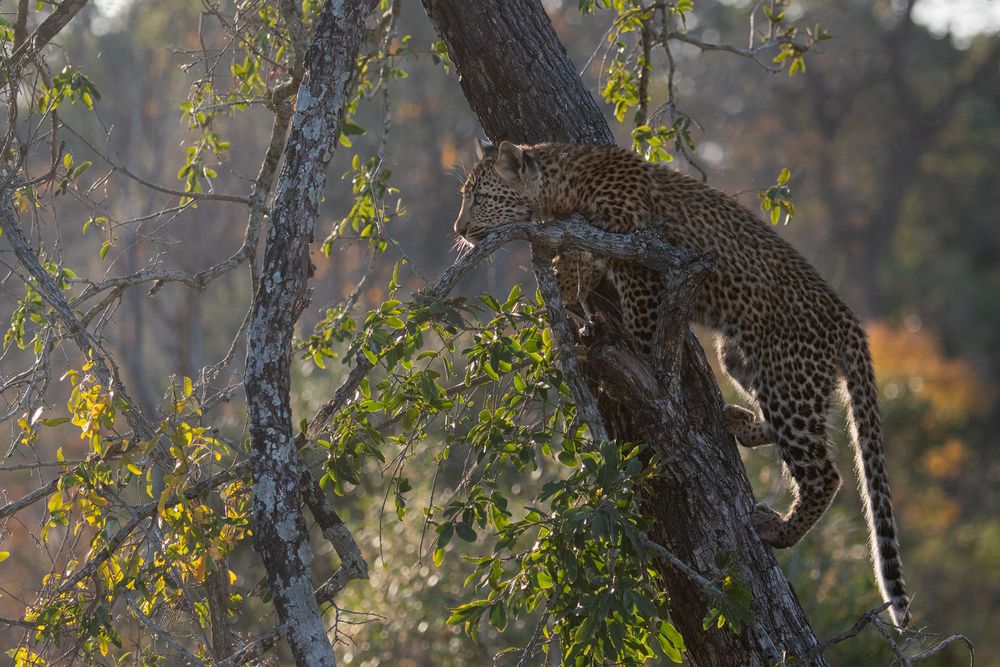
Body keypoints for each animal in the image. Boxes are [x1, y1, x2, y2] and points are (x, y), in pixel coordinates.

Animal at [454, 138, 916, 628]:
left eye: (479, 197)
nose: (459, 228)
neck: (564, 184)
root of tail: (851, 323)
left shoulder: (640, 269)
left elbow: (640, 328)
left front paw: (631, 350)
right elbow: (579, 263)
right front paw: (562, 279)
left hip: (788, 379)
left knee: (824, 472)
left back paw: (778, 529)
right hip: (742, 359)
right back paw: (738, 423)